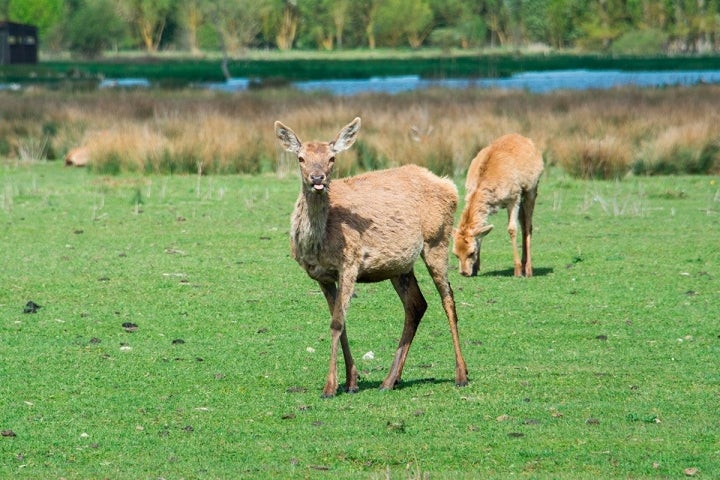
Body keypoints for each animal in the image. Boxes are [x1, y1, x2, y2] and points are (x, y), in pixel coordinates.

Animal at [272, 117, 470, 398]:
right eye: (300, 158)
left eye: (332, 157)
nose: (317, 178)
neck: (319, 243)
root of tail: (449, 184)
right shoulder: (322, 275)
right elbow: (340, 321)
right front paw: (351, 381)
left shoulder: (350, 262)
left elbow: (336, 323)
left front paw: (329, 387)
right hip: (400, 265)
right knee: (416, 304)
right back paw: (390, 380)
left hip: (437, 240)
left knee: (448, 300)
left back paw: (461, 375)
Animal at [452, 134, 544, 278]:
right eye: (455, 254)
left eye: (471, 252)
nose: (464, 272)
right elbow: (482, 232)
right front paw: (476, 268)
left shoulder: (514, 198)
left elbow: (512, 229)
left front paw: (517, 271)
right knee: (524, 223)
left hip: (531, 189)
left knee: (528, 225)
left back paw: (528, 270)